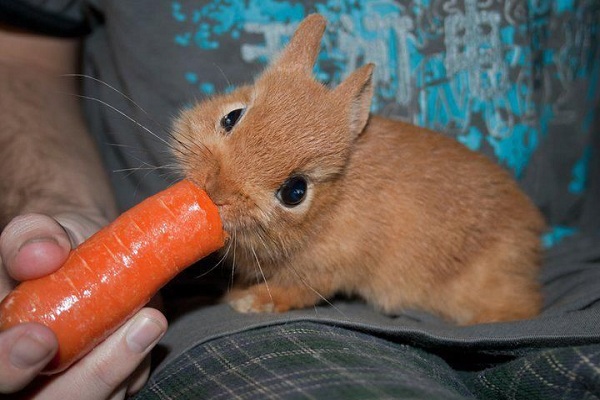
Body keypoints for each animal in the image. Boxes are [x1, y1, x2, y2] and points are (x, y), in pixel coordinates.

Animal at [171, 14, 546, 325]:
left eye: (295, 192)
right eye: (232, 117)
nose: (215, 189)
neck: (331, 204)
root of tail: (532, 232)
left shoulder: (324, 270)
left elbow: (295, 291)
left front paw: (247, 302)